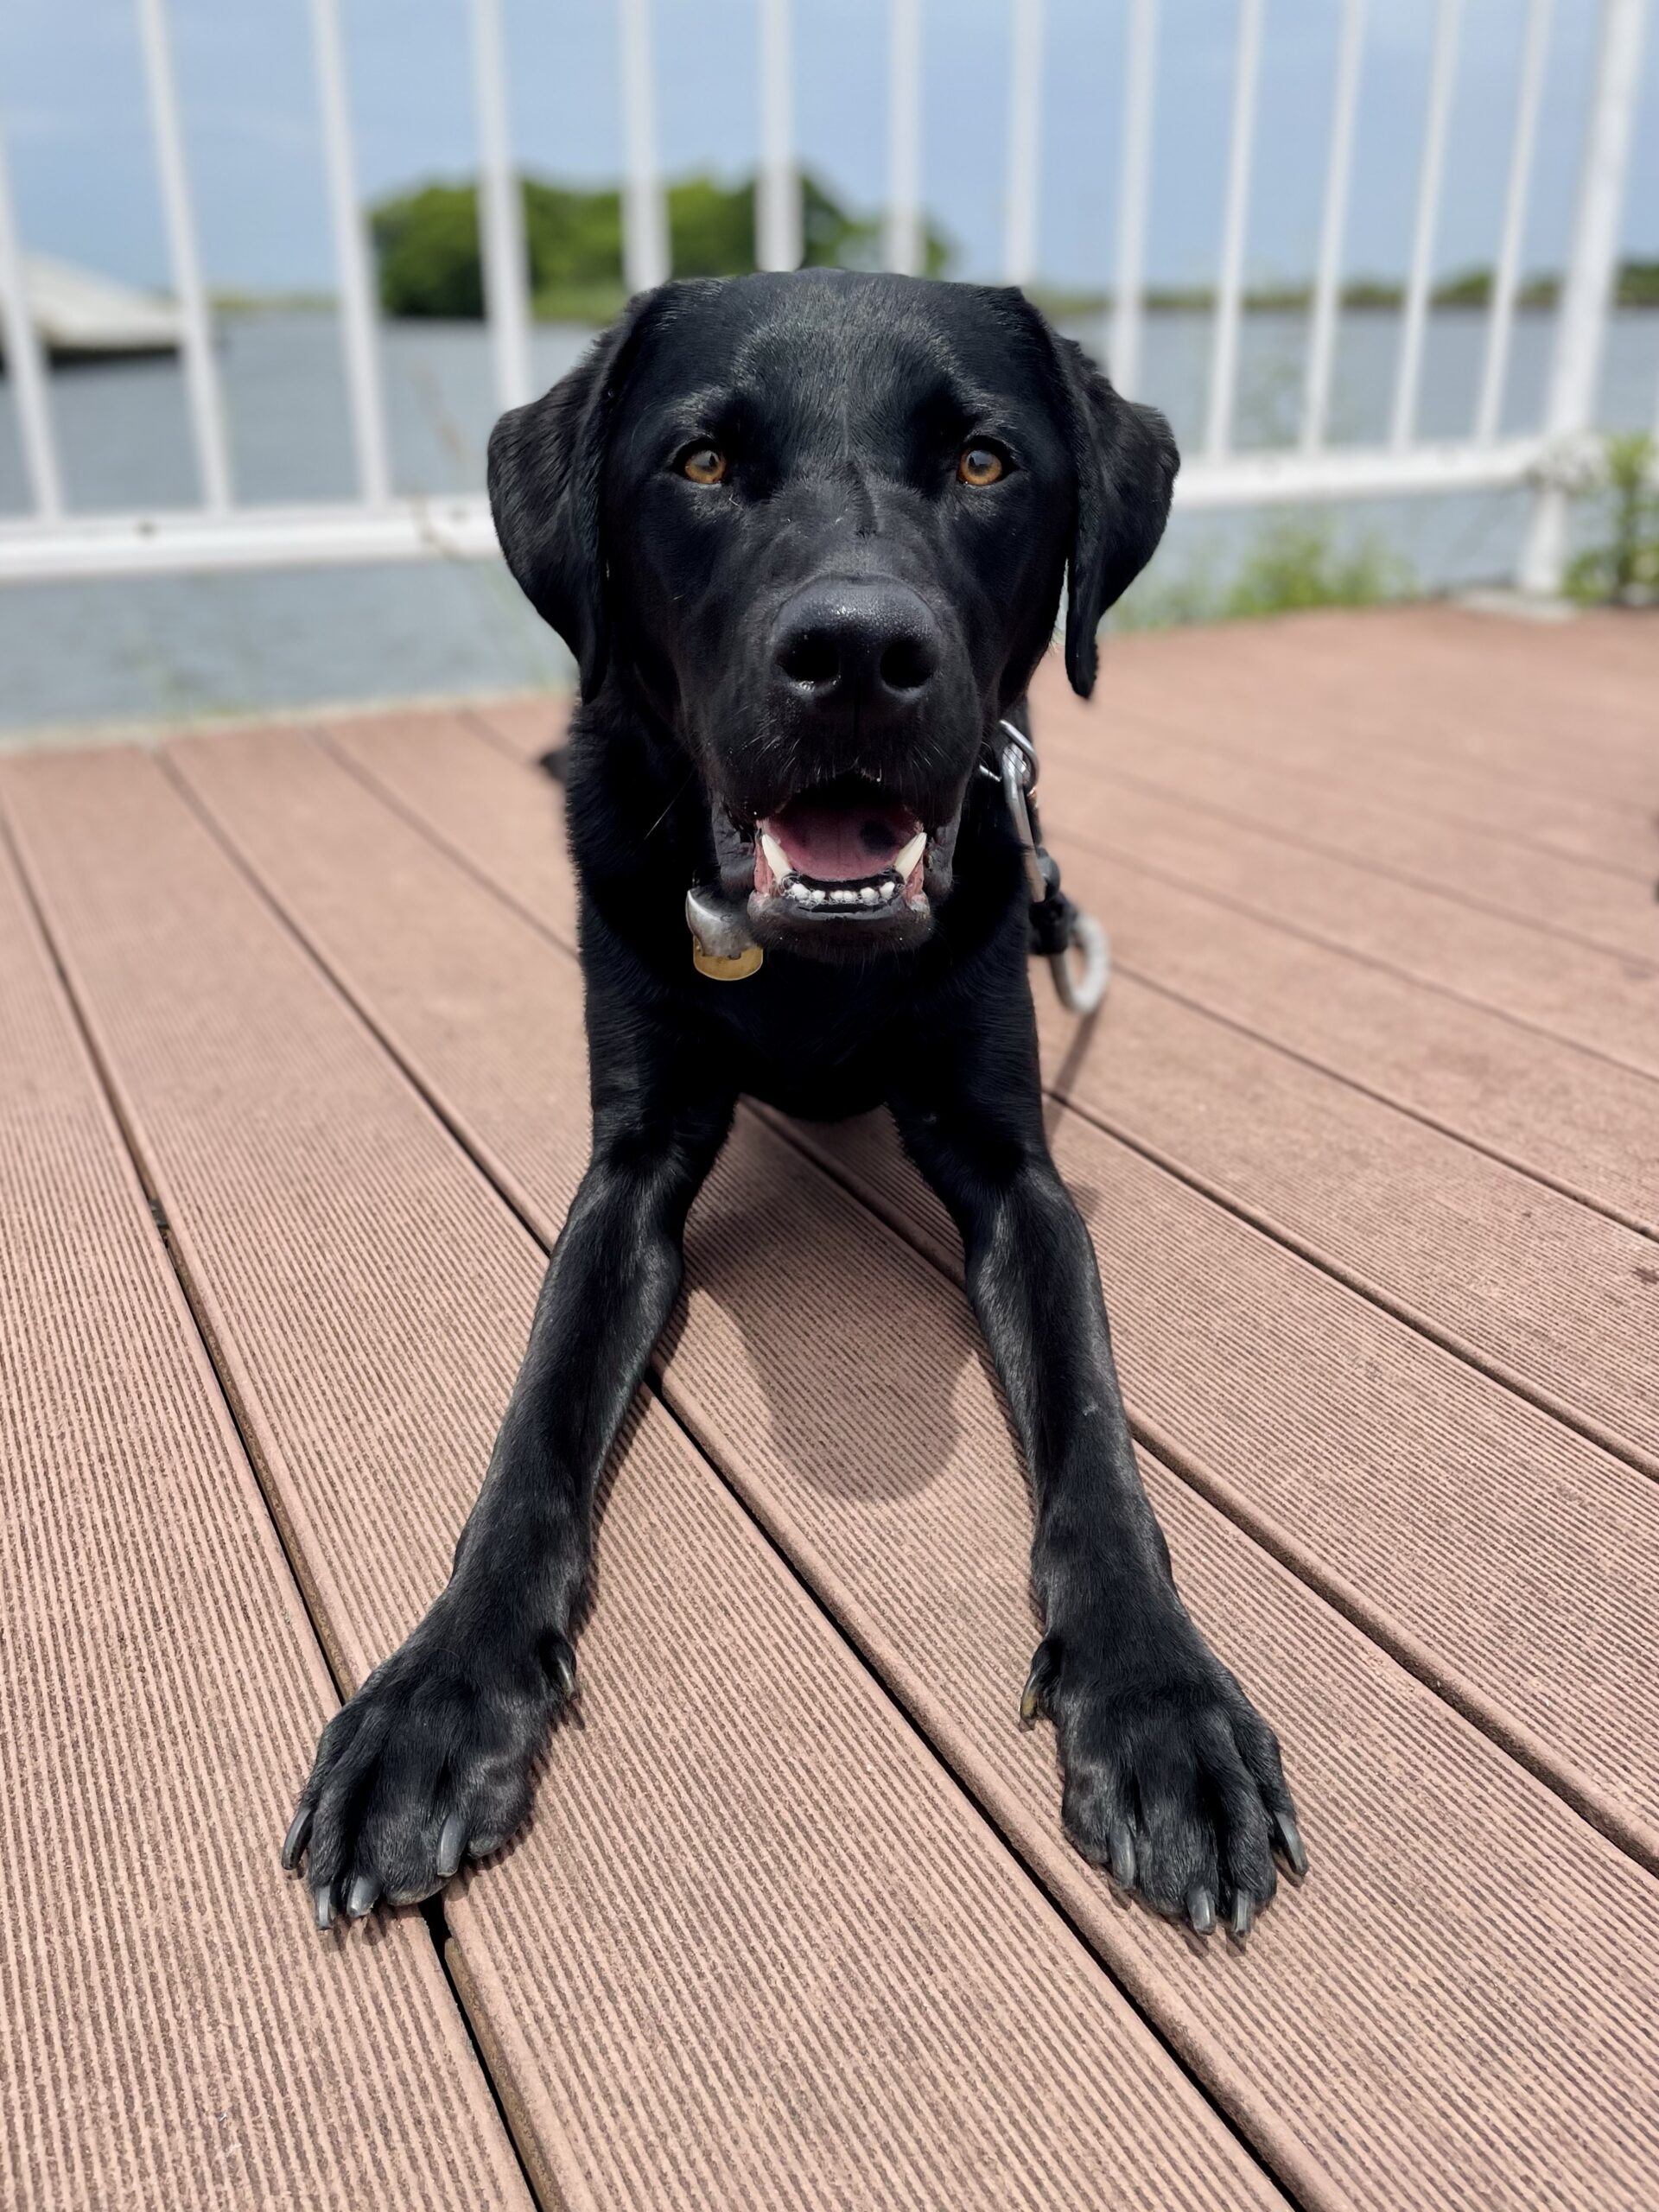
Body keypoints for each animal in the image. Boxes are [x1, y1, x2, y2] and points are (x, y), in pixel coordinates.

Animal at [284, 270, 1306, 1940]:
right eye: (702, 464)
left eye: (982, 461)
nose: (859, 655)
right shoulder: (629, 1172)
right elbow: (532, 1437)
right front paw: (437, 1702)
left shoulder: (1016, 1176)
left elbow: (1096, 1442)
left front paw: (1161, 1707)